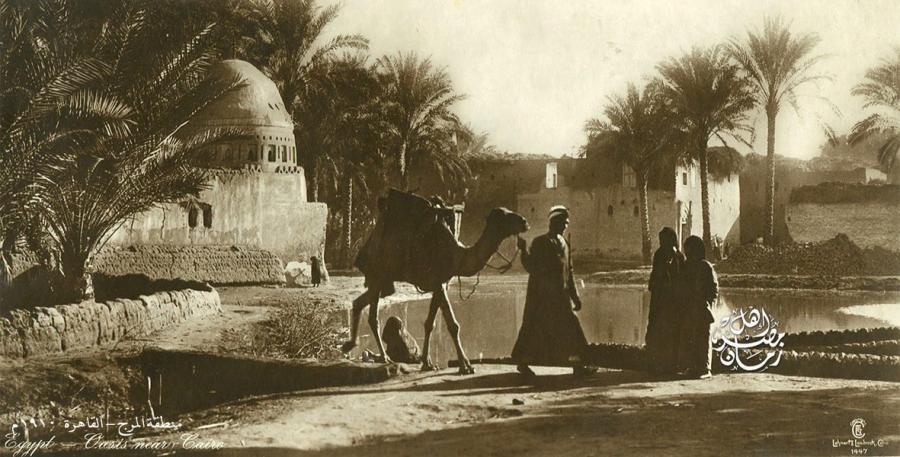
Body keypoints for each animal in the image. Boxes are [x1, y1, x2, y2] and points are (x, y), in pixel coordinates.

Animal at [341, 189, 529, 374]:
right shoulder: (438, 283)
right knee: (373, 316)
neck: (457, 255)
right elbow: (453, 325)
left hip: (384, 281)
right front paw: (465, 366)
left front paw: (428, 363)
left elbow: (429, 324)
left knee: (360, 303)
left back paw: (350, 345)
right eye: (503, 216)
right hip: (378, 274)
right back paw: (383, 357)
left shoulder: (441, 284)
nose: (525, 222)